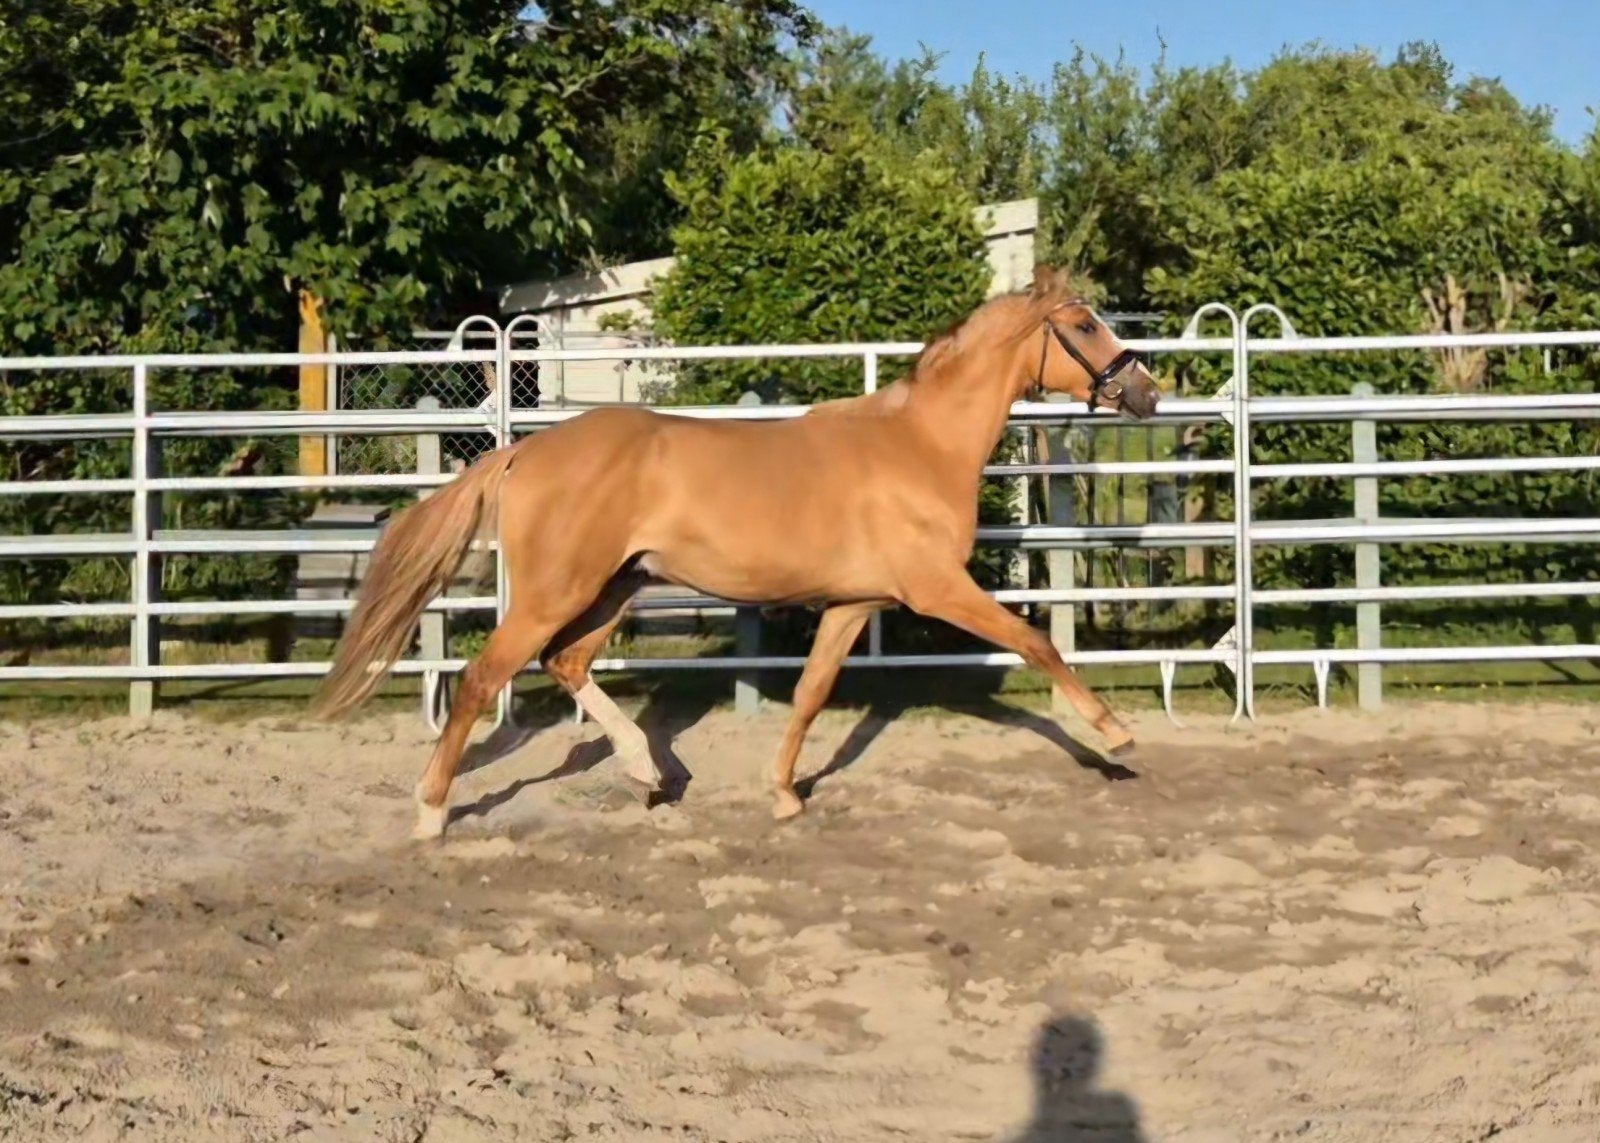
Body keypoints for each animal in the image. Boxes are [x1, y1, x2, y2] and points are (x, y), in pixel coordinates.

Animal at [312, 265, 1163, 839]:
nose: (1147, 394)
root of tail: (523, 451)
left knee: (568, 662)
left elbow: (812, 693)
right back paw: (432, 811)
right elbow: (1034, 641)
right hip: (559, 591)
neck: (920, 446)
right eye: (1086, 325)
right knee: (483, 678)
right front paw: (1115, 734)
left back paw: (647, 771)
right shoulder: (936, 588)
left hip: (613, 587)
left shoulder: (853, 603)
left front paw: (784, 792)